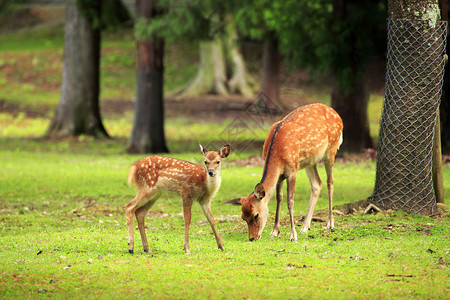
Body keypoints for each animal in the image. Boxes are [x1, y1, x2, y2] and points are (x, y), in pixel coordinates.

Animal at [227, 103, 342, 241]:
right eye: (243, 217)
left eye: (256, 215)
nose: (252, 238)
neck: (278, 153)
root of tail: (338, 115)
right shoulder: (280, 175)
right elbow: (279, 198)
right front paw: (274, 231)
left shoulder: (292, 170)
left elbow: (290, 201)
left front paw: (293, 235)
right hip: (310, 160)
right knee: (317, 184)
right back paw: (305, 227)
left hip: (331, 150)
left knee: (330, 181)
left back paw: (330, 224)